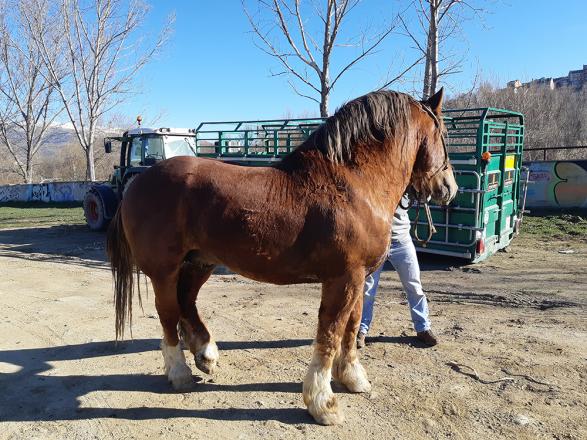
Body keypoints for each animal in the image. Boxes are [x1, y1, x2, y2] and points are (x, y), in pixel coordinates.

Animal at [108, 88, 462, 422]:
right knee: (168, 313)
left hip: (199, 262)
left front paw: (352, 378)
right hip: (165, 270)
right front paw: (322, 403)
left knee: (187, 303)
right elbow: (331, 333)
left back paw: (206, 354)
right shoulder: (343, 278)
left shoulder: (360, 277)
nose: (449, 188)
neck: (352, 183)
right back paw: (179, 372)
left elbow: (351, 328)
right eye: (444, 133)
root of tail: (136, 183)